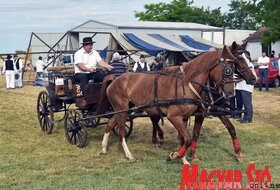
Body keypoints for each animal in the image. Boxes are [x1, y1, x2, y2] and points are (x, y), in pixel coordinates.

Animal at [97, 45, 241, 163]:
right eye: (227, 69)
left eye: (235, 67)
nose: (230, 93)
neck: (186, 84)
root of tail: (115, 79)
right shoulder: (173, 116)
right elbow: (188, 139)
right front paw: (174, 156)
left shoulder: (184, 117)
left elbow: (182, 139)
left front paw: (183, 159)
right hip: (122, 109)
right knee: (121, 132)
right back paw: (129, 155)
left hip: (125, 109)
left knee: (110, 124)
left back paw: (103, 149)